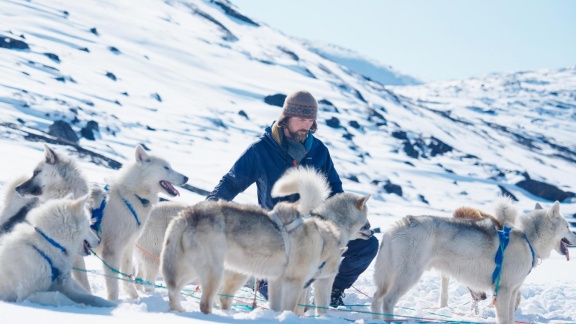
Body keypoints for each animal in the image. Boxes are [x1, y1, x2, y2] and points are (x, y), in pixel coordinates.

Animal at [90, 146, 187, 300]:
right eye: (166, 167)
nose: (186, 178)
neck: (132, 196)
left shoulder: (127, 247)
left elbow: (126, 274)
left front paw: (133, 297)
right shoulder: (112, 249)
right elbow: (112, 281)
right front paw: (113, 301)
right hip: (154, 255)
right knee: (148, 280)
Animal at [374, 201, 576, 322]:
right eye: (568, 226)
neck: (527, 238)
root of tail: (400, 224)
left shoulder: (512, 292)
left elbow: (511, 318)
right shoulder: (503, 292)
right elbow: (504, 319)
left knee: (377, 298)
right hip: (409, 275)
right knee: (388, 300)